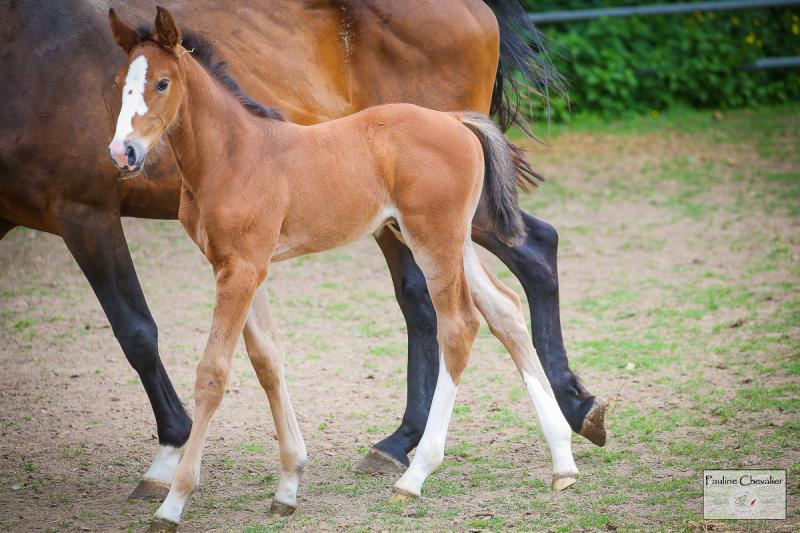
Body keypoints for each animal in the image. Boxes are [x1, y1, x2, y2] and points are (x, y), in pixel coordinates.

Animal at [0, 0, 605, 501]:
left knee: (460, 322)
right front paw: (288, 482)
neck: (235, 152)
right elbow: (267, 359)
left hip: (434, 240)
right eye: (120, 83)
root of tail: (452, 119)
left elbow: (203, 364)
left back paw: (415, 470)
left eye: (164, 83)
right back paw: (562, 459)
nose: (122, 153)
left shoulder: (123, 226)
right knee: (503, 307)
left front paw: (172, 491)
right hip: (443, 238)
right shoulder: (238, 264)